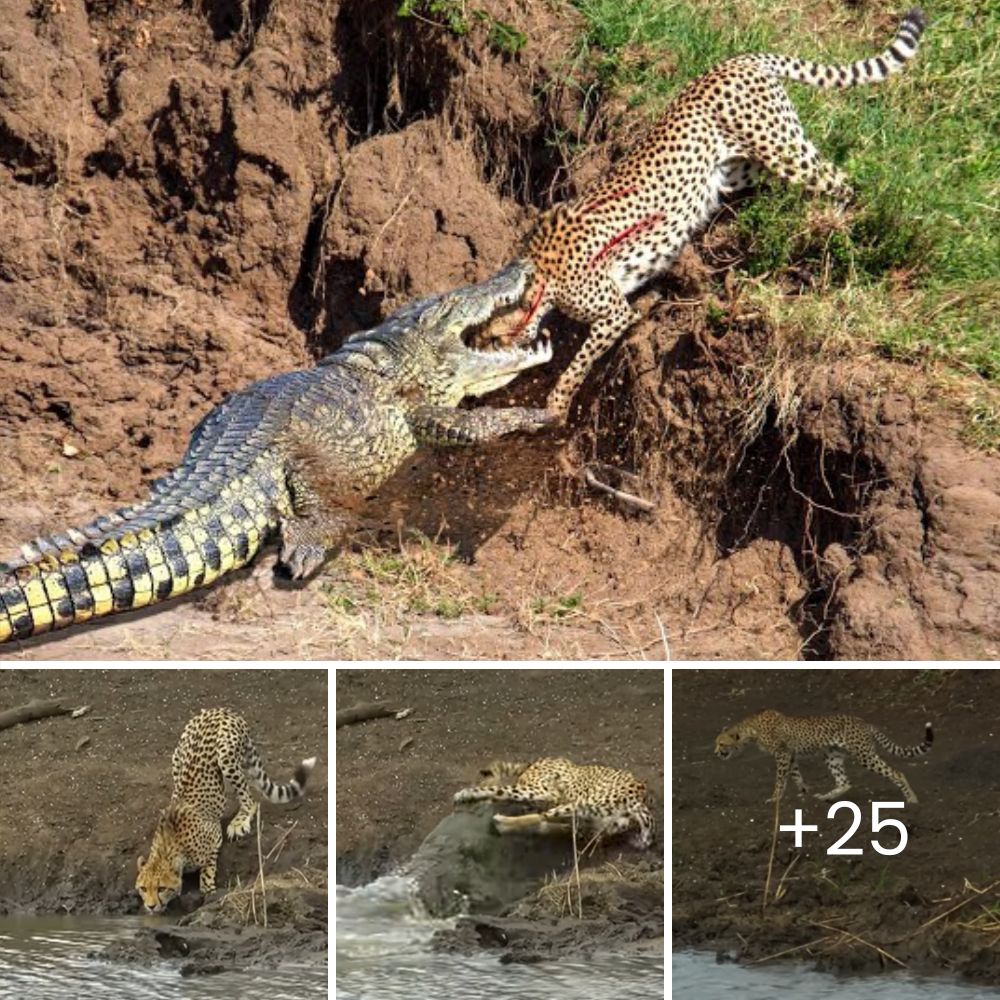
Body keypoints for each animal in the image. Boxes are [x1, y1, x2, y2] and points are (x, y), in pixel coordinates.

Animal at [133, 708, 312, 912]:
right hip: (177, 756)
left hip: (226, 757)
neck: (168, 846)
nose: (150, 906)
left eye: (161, 888)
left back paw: (239, 821)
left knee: (251, 799)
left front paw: (208, 889)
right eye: (143, 888)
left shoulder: (214, 837)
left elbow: (207, 870)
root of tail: (219, 710)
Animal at [454, 752, 656, 848]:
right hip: (594, 819)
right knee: (554, 823)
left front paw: (465, 794)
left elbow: (495, 790)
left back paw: (500, 822)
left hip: (579, 804)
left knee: (542, 816)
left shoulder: (544, 791)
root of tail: (640, 795)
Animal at [500, 7, 928, 416]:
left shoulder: (615, 313)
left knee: (841, 179)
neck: (540, 277)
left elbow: (580, 361)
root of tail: (734, 61)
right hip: (740, 167)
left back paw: (832, 228)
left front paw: (557, 404)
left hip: (781, 149)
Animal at [716, 712, 932, 804]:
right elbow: (796, 776)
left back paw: (911, 798)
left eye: (721, 744)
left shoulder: (782, 754)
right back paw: (827, 796)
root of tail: (864, 722)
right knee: (845, 782)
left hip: (864, 755)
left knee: (896, 772)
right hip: (832, 756)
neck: (750, 730)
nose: (716, 753)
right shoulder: (790, 756)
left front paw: (775, 798)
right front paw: (804, 791)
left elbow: (780, 780)